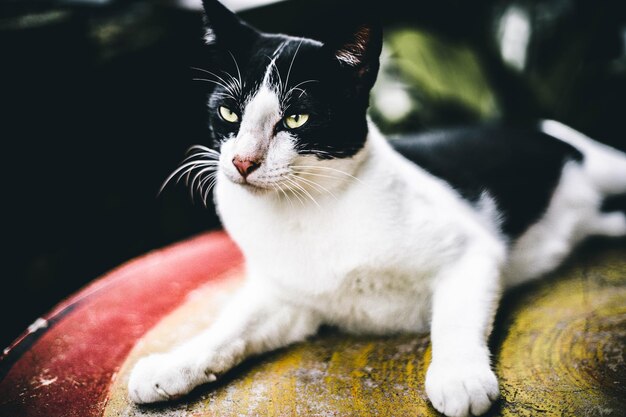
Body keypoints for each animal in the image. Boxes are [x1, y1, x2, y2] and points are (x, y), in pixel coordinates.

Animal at [127, 1, 624, 414]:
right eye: (229, 113)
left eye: (296, 118)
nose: (243, 162)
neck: (305, 211)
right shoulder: (289, 299)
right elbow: (232, 325)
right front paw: (173, 364)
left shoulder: (472, 251)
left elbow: (454, 318)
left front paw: (459, 377)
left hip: (605, 163)